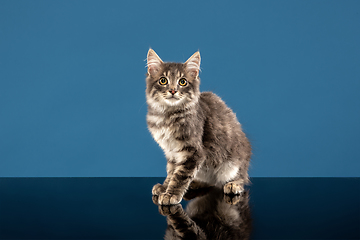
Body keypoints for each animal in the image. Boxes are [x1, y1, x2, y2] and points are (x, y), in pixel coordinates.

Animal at [146, 48, 250, 204]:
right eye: (163, 80)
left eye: (182, 82)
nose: (173, 90)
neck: (167, 116)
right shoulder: (171, 152)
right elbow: (172, 171)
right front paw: (165, 187)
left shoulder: (193, 152)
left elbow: (180, 175)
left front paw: (171, 194)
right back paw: (195, 183)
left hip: (233, 163)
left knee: (241, 178)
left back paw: (234, 184)